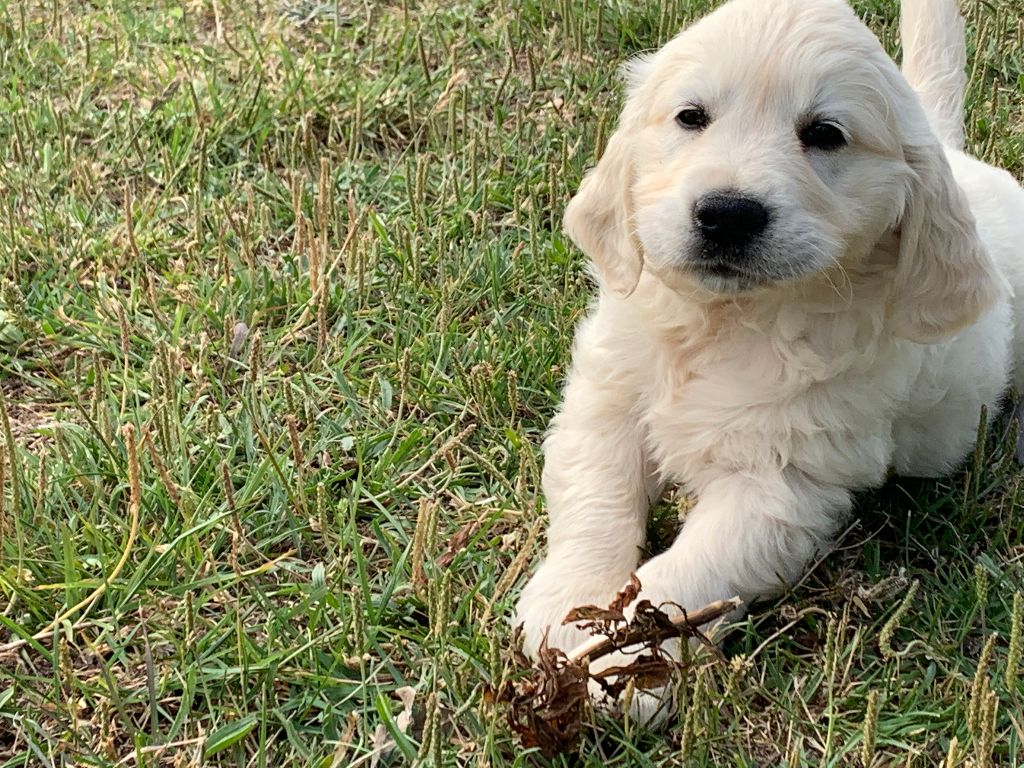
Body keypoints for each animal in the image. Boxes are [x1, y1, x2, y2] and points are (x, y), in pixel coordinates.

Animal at [516, 0, 1024, 720]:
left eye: (825, 134)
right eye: (691, 116)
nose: (727, 214)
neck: (729, 322)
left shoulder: (780, 487)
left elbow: (684, 573)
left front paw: (627, 663)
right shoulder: (604, 405)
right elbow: (596, 503)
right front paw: (567, 605)